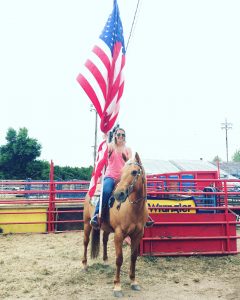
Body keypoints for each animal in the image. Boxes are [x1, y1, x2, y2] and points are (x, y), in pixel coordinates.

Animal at [82, 152, 148, 298]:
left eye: (134, 172)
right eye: (121, 172)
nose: (119, 194)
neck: (133, 208)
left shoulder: (138, 235)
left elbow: (133, 257)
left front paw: (133, 281)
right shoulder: (119, 234)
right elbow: (119, 259)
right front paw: (117, 286)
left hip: (106, 227)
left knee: (104, 240)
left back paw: (105, 261)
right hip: (87, 223)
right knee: (86, 242)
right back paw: (84, 265)